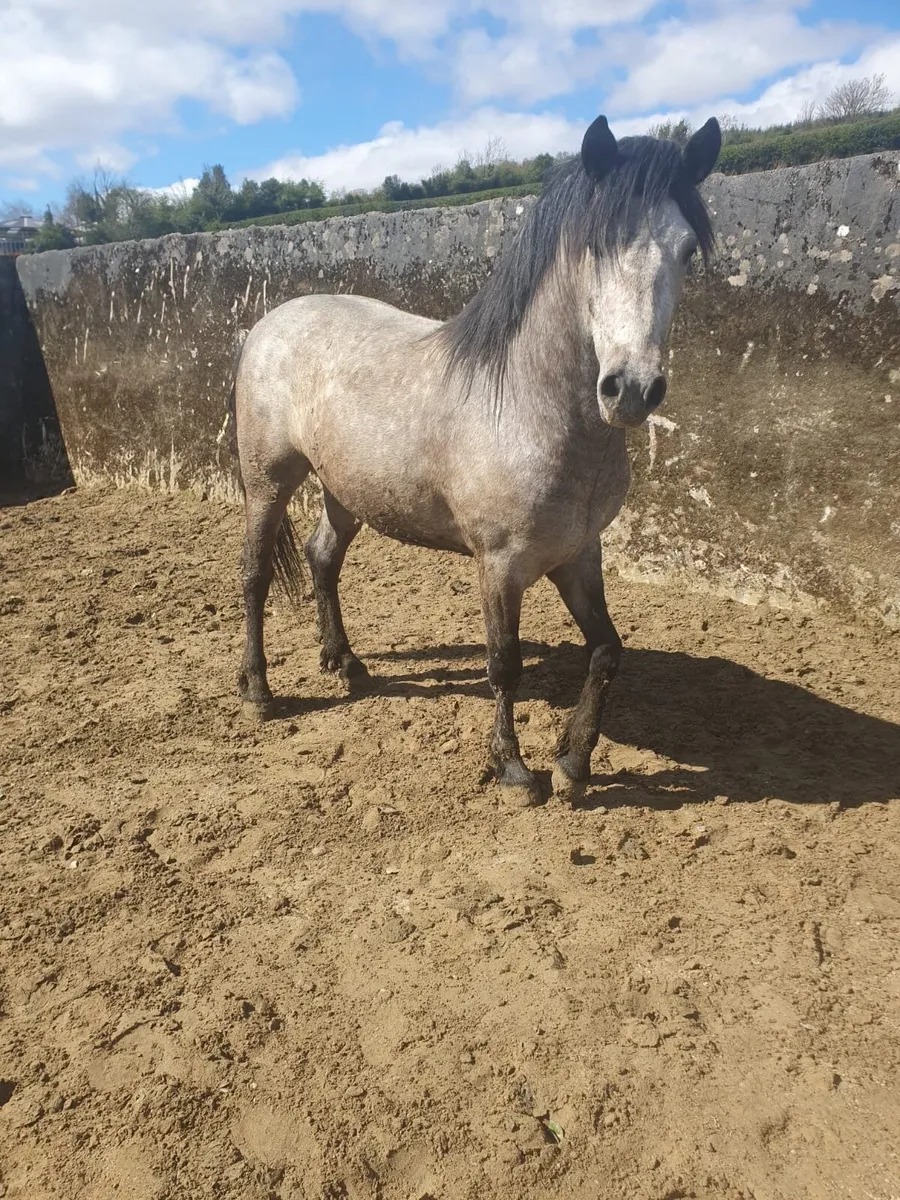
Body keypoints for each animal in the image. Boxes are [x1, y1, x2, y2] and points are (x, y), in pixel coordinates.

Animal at [233, 114, 721, 807]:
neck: (524, 403)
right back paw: (259, 692)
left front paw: (573, 762)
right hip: (267, 482)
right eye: (596, 248)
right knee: (253, 574)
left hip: (345, 489)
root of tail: (267, 325)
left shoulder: (579, 553)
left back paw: (345, 664)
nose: (631, 389)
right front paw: (514, 769)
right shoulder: (500, 564)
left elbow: (607, 651)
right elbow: (504, 663)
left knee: (321, 558)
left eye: (686, 251)